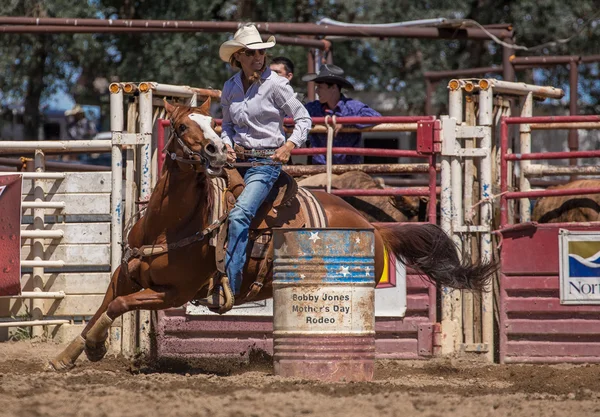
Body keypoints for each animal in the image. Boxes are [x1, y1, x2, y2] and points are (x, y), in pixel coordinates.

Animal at [49, 99, 494, 368]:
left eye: (212, 124)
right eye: (180, 125)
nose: (216, 151)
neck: (167, 224)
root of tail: (371, 222)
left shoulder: (174, 293)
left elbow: (119, 305)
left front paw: (94, 346)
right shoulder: (125, 273)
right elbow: (103, 304)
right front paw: (71, 352)